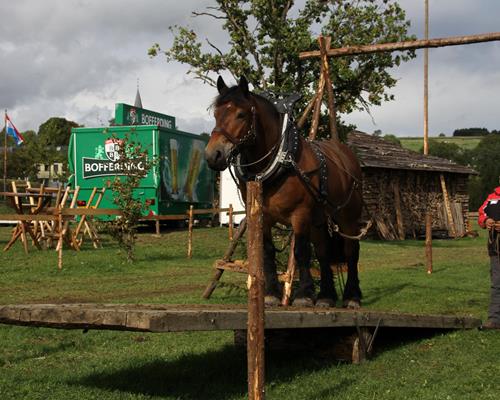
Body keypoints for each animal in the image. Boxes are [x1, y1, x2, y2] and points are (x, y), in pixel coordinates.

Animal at [204, 77, 364, 310]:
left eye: (241, 114)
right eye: (216, 114)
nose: (213, 155)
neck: (281, 161)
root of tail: (346, 155)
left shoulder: (300, 214)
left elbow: (301, 252)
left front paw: (304, 295)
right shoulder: (262, 216)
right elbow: (268, 251)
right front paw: (271, 294)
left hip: (347, 217)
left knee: (351, 251)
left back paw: (352, 296)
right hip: (319, 221)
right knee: (323, 252)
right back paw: (326, 296)